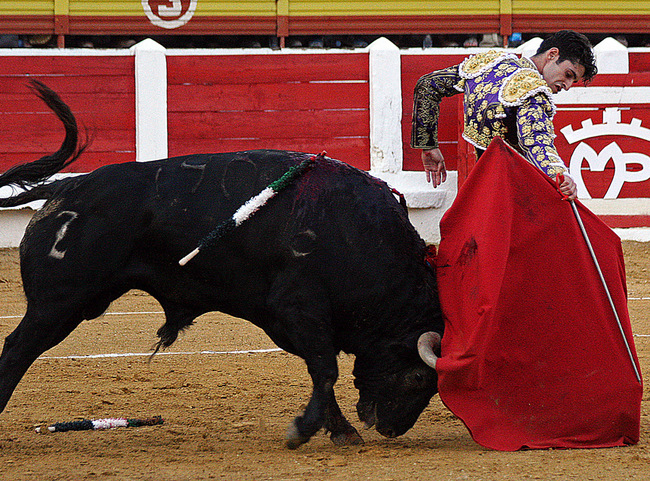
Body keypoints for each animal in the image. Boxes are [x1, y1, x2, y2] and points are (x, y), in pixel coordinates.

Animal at [0, 81, 440, 446]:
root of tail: (65, 186)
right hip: (57, 304)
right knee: (16, 350)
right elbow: (325, 369)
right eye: (420, 376)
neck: (363, 239)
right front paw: (304, 431)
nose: (391, 428)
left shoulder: (285, 319)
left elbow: (319, 370)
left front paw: (340, 431)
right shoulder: (300, 306)